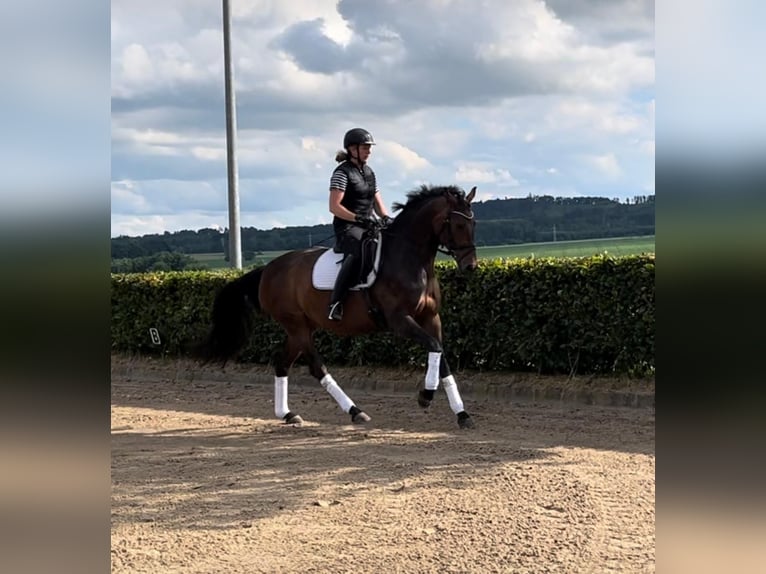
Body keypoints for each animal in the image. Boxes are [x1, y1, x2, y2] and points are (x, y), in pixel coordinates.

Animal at [202, 184, 480, 428]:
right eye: (457, 225)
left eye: (473, 224)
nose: (471, 266)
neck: (411, 259)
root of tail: (269, 269)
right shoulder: (399, 320)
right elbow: (434, 347)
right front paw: (425, 396)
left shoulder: (431, 318)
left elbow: (441, 355)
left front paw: (462, 414)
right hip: (296, 325)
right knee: (316, 367)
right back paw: (355, 411)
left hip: (302, 327)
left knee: (282, 363)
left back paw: (289, 414)